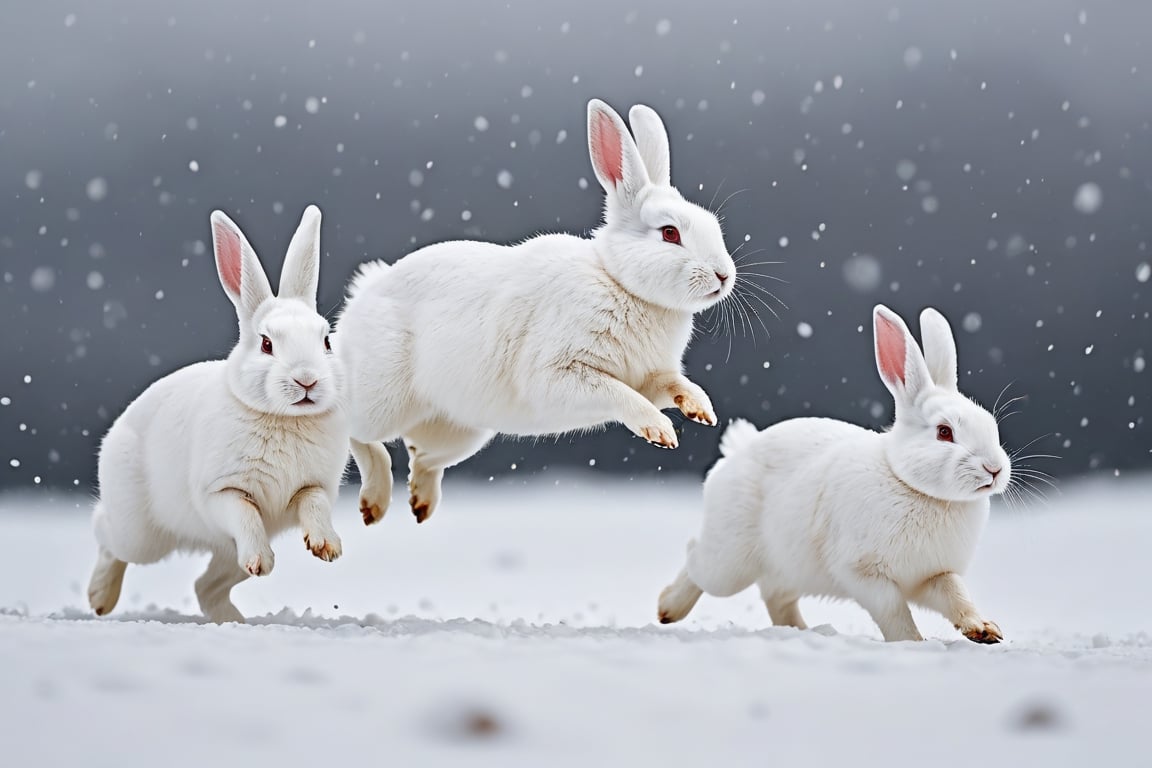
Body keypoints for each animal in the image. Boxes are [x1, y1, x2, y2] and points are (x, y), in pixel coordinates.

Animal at [87, 206, 347, 626]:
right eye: (266, 343)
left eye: (325, 341)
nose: (307, 379)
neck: (280, 417)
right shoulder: (221, 492)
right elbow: (244, 513)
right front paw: (262, 562)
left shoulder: (311, 487)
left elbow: (314, 505)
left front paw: (326, 547)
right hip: (141, 535)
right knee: (106, 535)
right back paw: (99, 599)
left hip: (224, 553)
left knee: (205, 587)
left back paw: (237, 622)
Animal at [336, 99, 737, 525]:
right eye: (670, 233)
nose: (724, 275)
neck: (619, 281)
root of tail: (361, 300)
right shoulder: (560, 373)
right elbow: (621, 396)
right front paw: (661, 432)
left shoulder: (649, 376)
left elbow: (672, 386)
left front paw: (701, 411)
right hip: (381, 401)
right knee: (354, 432)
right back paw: (374, 503)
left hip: (461, 431)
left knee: (422, 458)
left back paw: (421, 504)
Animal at [658, 303, 1009, 644]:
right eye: (944, 432)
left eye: (990, 425)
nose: (994, 469)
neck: (913, 485)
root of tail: (738, 450)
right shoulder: (863, 573)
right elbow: (893, 611)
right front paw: (913, 643)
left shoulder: (932, 575)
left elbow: (955, 593)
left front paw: (984, 630)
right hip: (730, 561)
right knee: (697, 559)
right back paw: (667, 608)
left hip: (788, 567)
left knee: (776, 597)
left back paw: (803, 631)